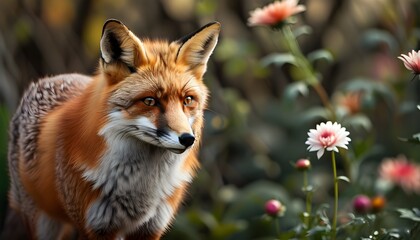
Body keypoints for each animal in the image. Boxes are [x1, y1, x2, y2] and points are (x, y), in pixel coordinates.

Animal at [7, 19, 220, 240]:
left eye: (187, 100)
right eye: (149, 101)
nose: (187, 139)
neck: (142, 191)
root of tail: (48, 79)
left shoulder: (151, 228)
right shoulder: (96, 227)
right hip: (43, 223)